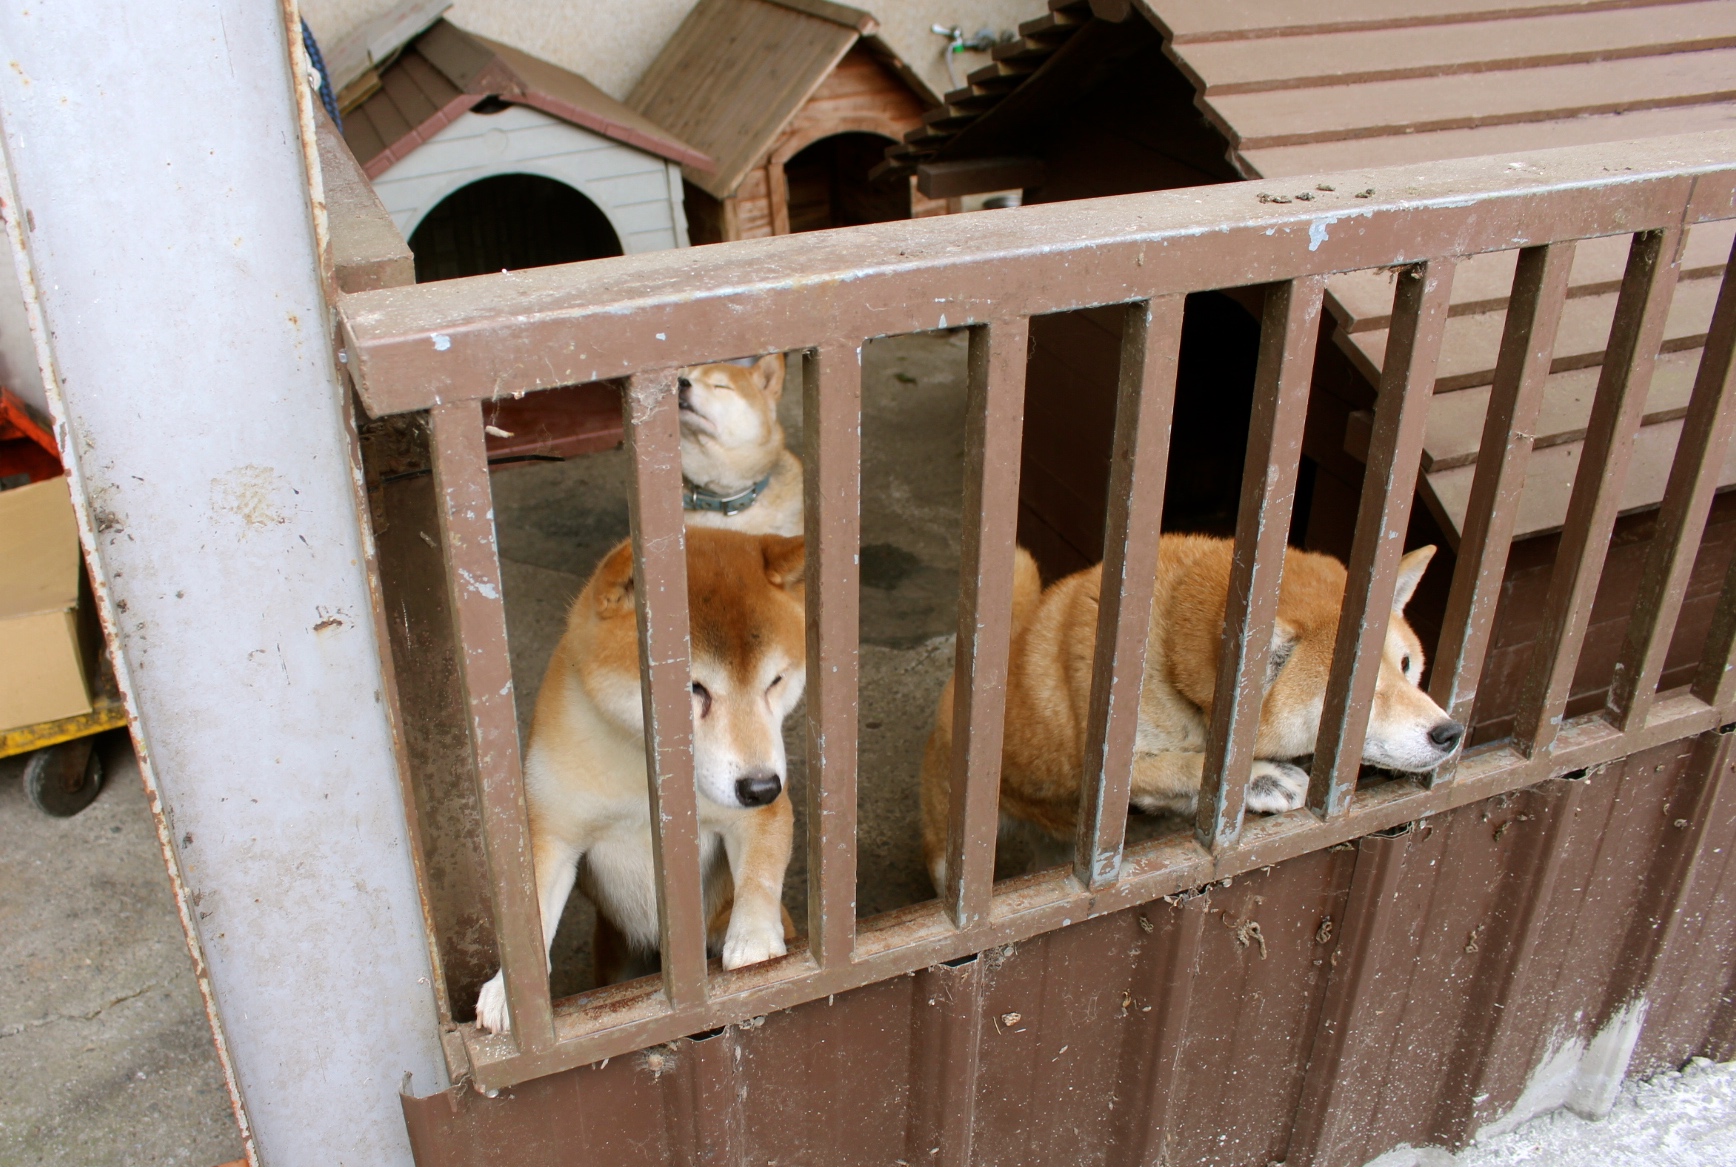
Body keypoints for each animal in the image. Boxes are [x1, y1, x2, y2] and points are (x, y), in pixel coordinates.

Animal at [472, 527, 802, 1028]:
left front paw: (756, 945)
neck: (642, 771)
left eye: (776, 681)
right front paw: (511, 995)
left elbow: (759, 877)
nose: (761, 786)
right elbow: (535, 911)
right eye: (692, 688)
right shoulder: (553, 829)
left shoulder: (760, 813)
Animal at [923, 534, 1465, 889]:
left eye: (1407, 665)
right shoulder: (1118, 773)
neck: (1165, 652)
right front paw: (1264, 777)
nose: (1450, 732)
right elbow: (1196, 766)